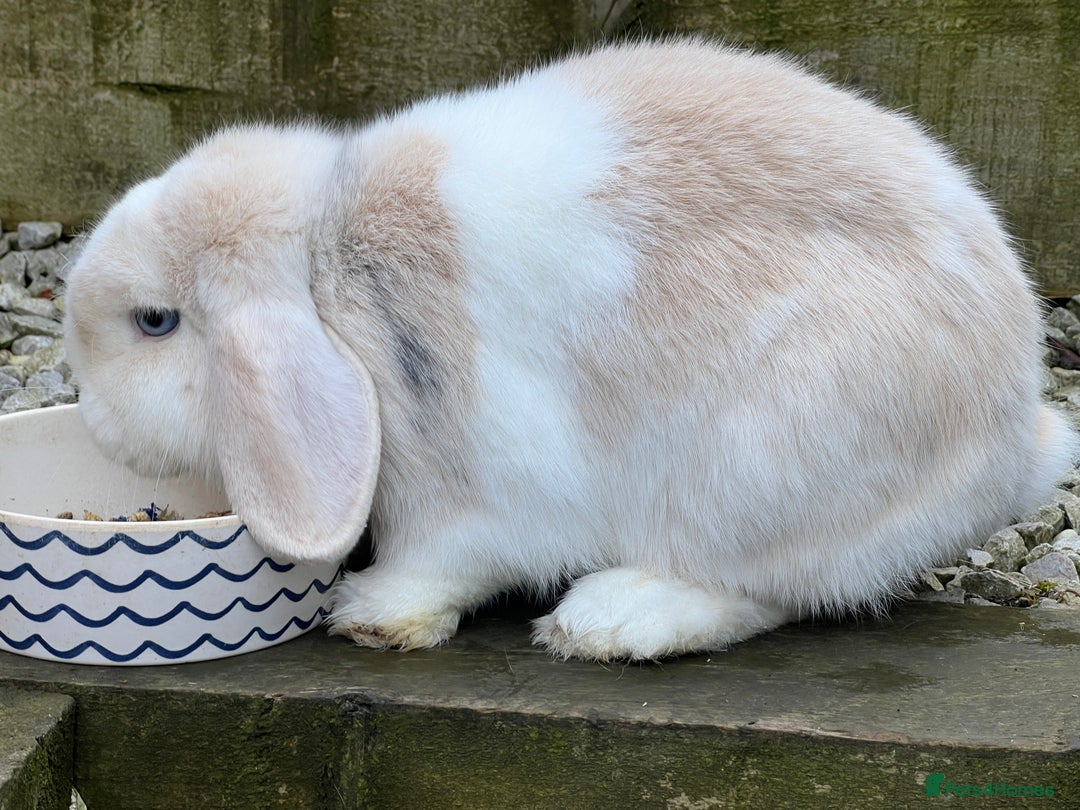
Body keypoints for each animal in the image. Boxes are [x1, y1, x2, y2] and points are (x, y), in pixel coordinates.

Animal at [63, 38, 1078, 661]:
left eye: (155, 322)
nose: (99, 433)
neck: (328, 273)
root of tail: (1015, 441)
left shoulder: (472, 496)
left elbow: (446, 560)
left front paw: (370, 614)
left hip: (760, 464)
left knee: (765, 589)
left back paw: (611, 621)